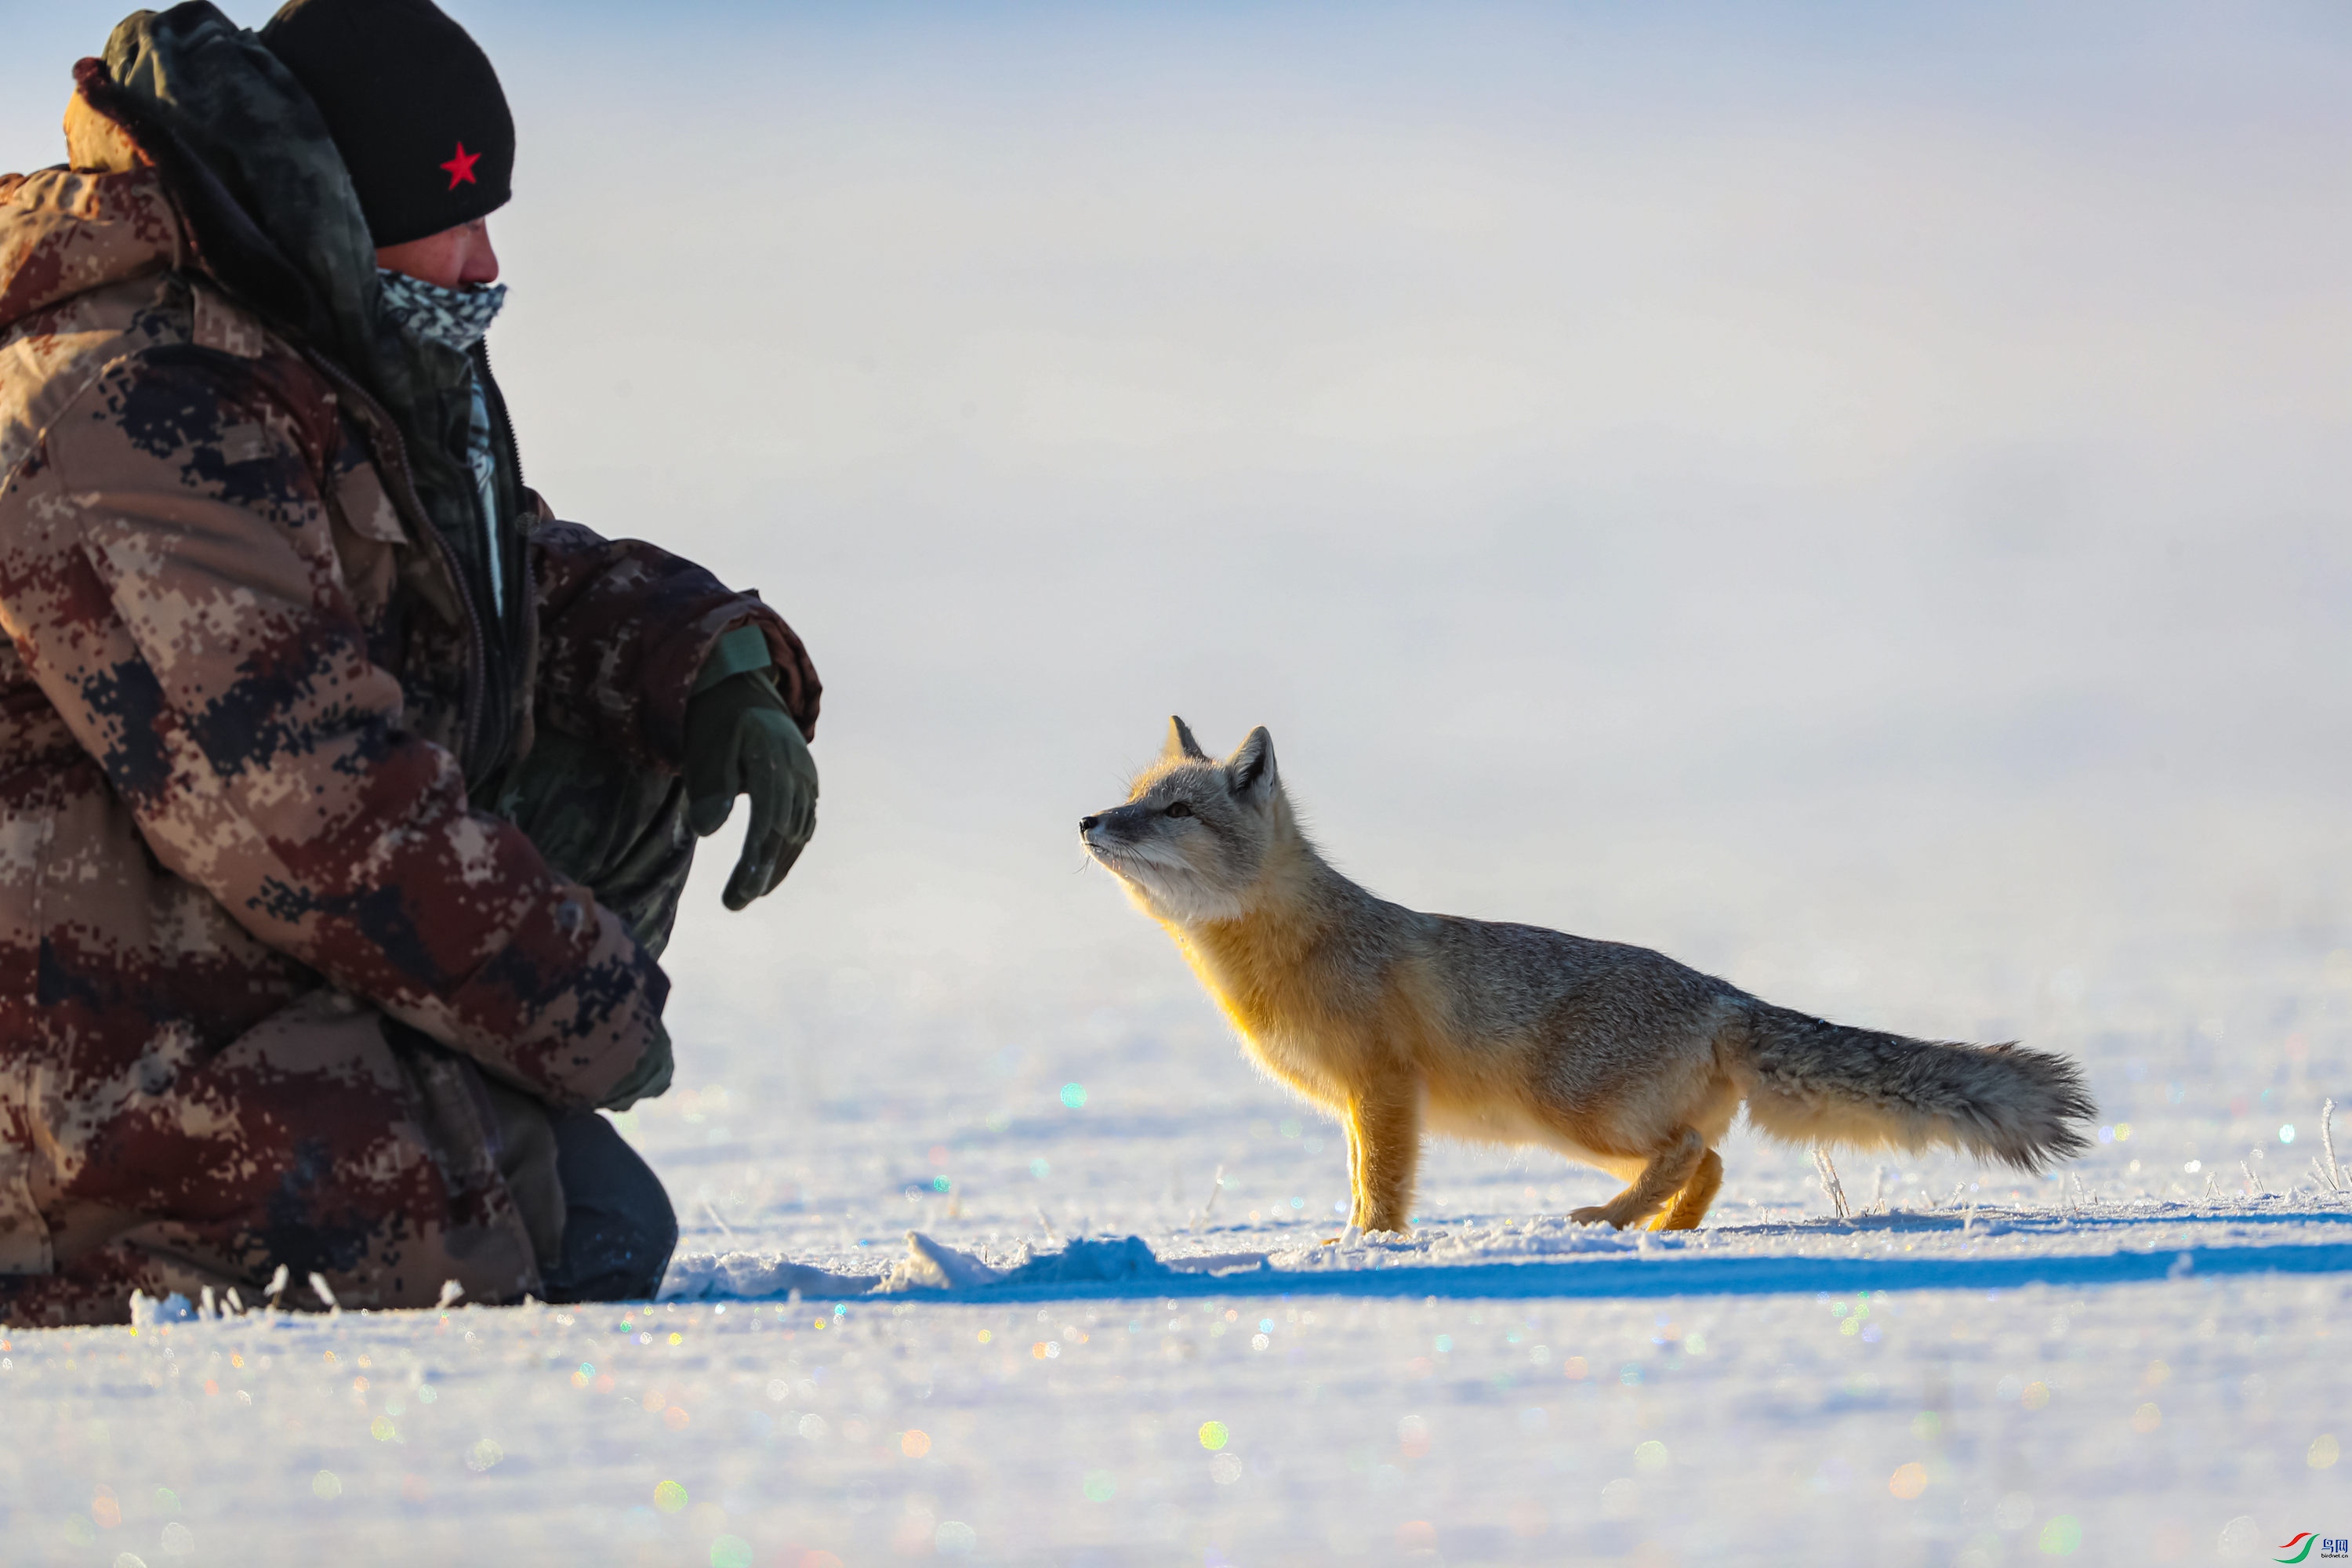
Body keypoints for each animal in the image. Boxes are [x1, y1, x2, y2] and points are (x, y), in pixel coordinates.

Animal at [1082, 724, 2098, 1241]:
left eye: (1176, 809)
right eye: (1133, 796)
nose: (1090, 820)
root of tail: (1726, 993)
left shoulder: (1383, 1090)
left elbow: (1381, 1189)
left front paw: (1362, 1248)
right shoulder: (1358, 1103)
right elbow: (1362, 1177)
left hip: (1573, 1114)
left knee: (1691, 1150)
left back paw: (1617, 1220)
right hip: (1581, 1127)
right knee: (1712, 1157)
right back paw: (1655, 1231)